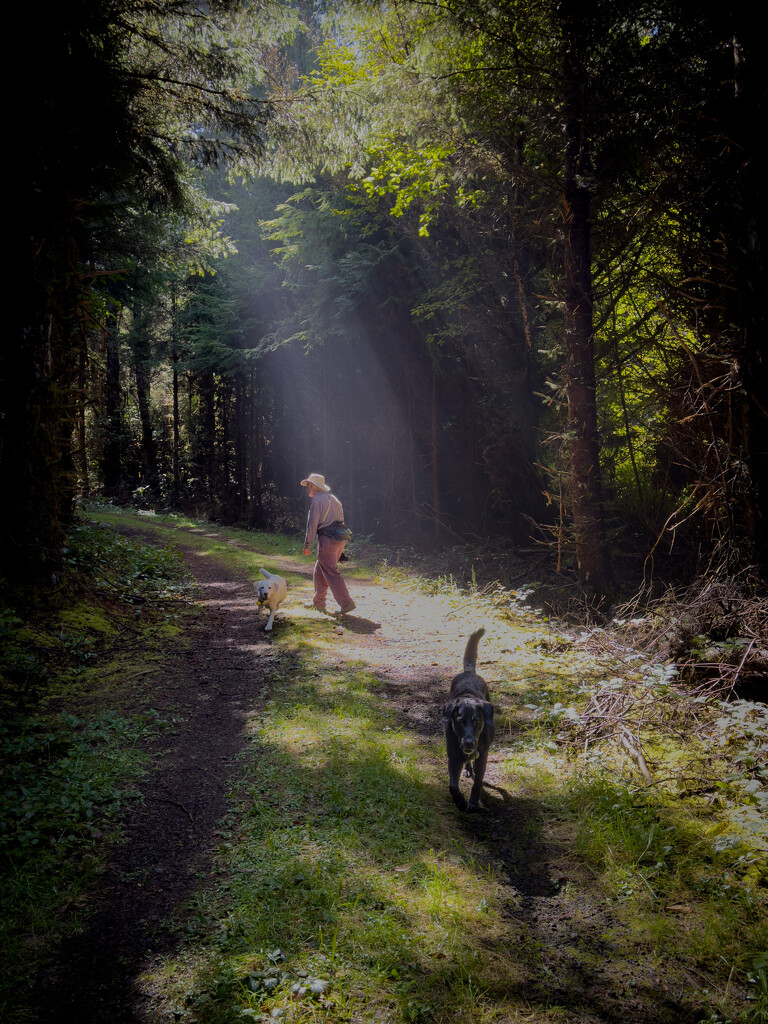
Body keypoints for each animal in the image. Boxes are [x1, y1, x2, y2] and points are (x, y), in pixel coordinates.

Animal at [444, 626, 493, 811]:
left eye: (476, 720)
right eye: (459, 721)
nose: (469, 742)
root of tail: (469, 672)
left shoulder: (483, 755)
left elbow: (478, 781)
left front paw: (472, 802)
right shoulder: (454, 756)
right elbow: (453, 785)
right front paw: (460, 802)